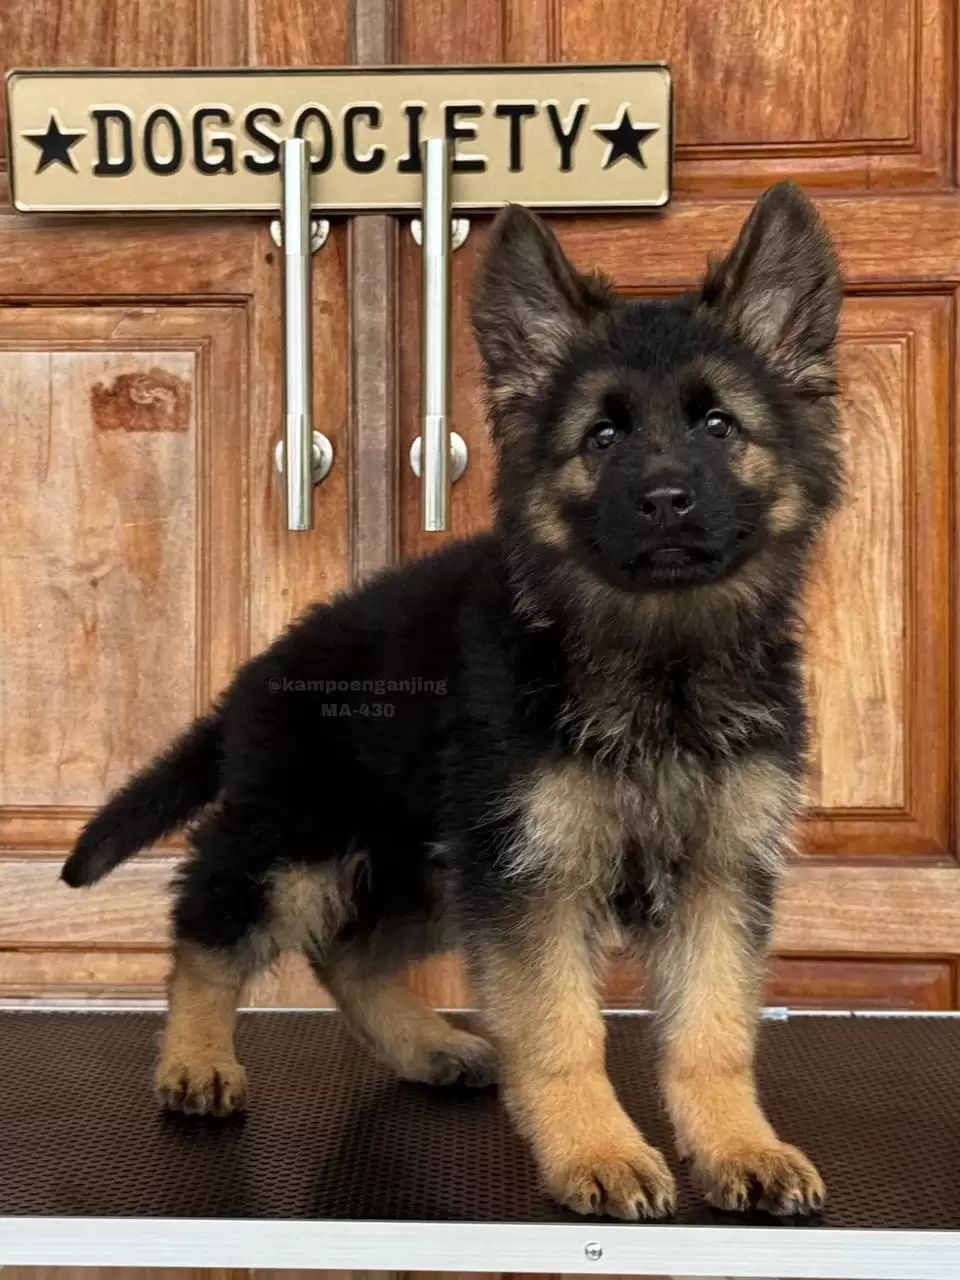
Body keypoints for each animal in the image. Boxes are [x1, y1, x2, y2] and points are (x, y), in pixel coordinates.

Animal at [62, 181, 842, 1221]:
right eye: (603, 438)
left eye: (719, 427)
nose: (667, 500)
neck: (656, 657)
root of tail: (256, 672)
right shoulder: (533, 881)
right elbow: (561, 1028)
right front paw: (597, 1150)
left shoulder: (717, 876)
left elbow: (713, 1032)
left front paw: (739, 1146)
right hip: (306, 844)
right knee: (209, 925)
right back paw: (195, 1060)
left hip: (431, 861)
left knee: (348, 955)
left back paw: (425, 1046)